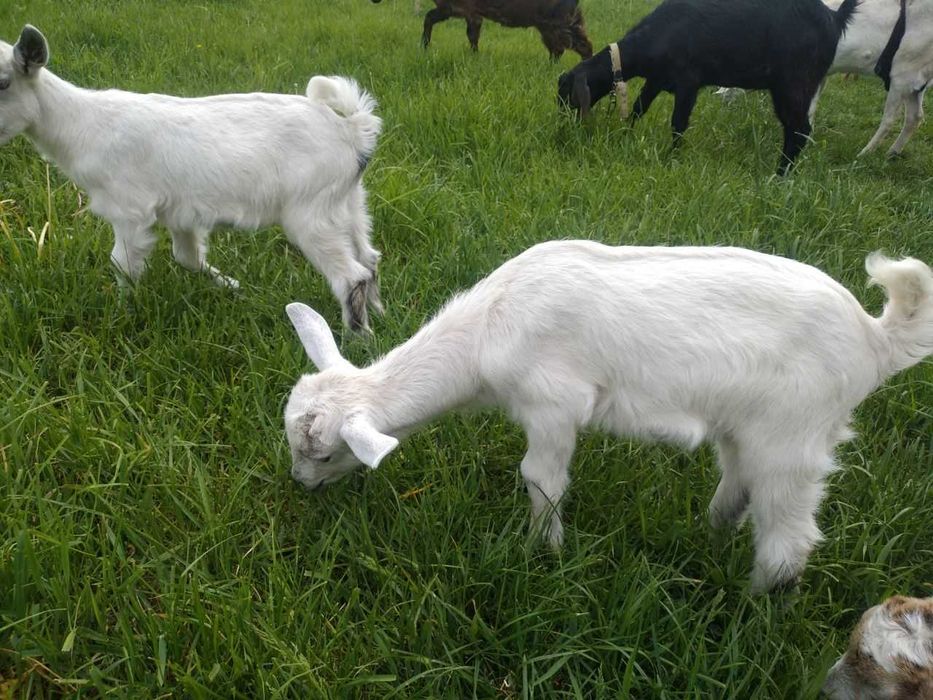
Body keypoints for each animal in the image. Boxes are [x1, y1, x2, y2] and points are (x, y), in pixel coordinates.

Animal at [0, 25, 383, 331]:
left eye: (4, 82)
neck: (83, 125)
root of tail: (352, 130)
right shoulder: (181, 211)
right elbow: (187, 257)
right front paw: (233, 286)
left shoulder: (129, 209)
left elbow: (123, 265)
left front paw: (121, 316)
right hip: (349, 202)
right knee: (370, 258)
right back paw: (380, 318)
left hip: (311, 211)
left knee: (351, 275)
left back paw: (356, 341)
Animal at [283, 241, 933, 593]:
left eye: (323, 451)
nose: (300, 485)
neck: (488, 327)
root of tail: (873, 340)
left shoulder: (553, 402)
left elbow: (541, 479)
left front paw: (543, 555)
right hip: (750, 426)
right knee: (738, 486)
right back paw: (706, 540)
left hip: (794, 433)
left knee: (787, 540)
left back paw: (756, 609)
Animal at [371, 0, 593, 61]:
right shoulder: (463, 11)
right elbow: (473, 37)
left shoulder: (459, 9)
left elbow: (428, 18)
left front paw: (424, 46)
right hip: (549, 26)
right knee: (559, 50)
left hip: (560, 22)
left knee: (583, 46)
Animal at [557, 0, 858, 175]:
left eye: (568, 97)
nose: (563, 130)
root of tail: (835, 18)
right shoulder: (657, 79)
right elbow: (638, 108)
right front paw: (626, 134)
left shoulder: (688, 82)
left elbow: (678, 122)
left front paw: (672, 157)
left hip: (793, 84)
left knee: (799, 129)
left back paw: (780, 175)